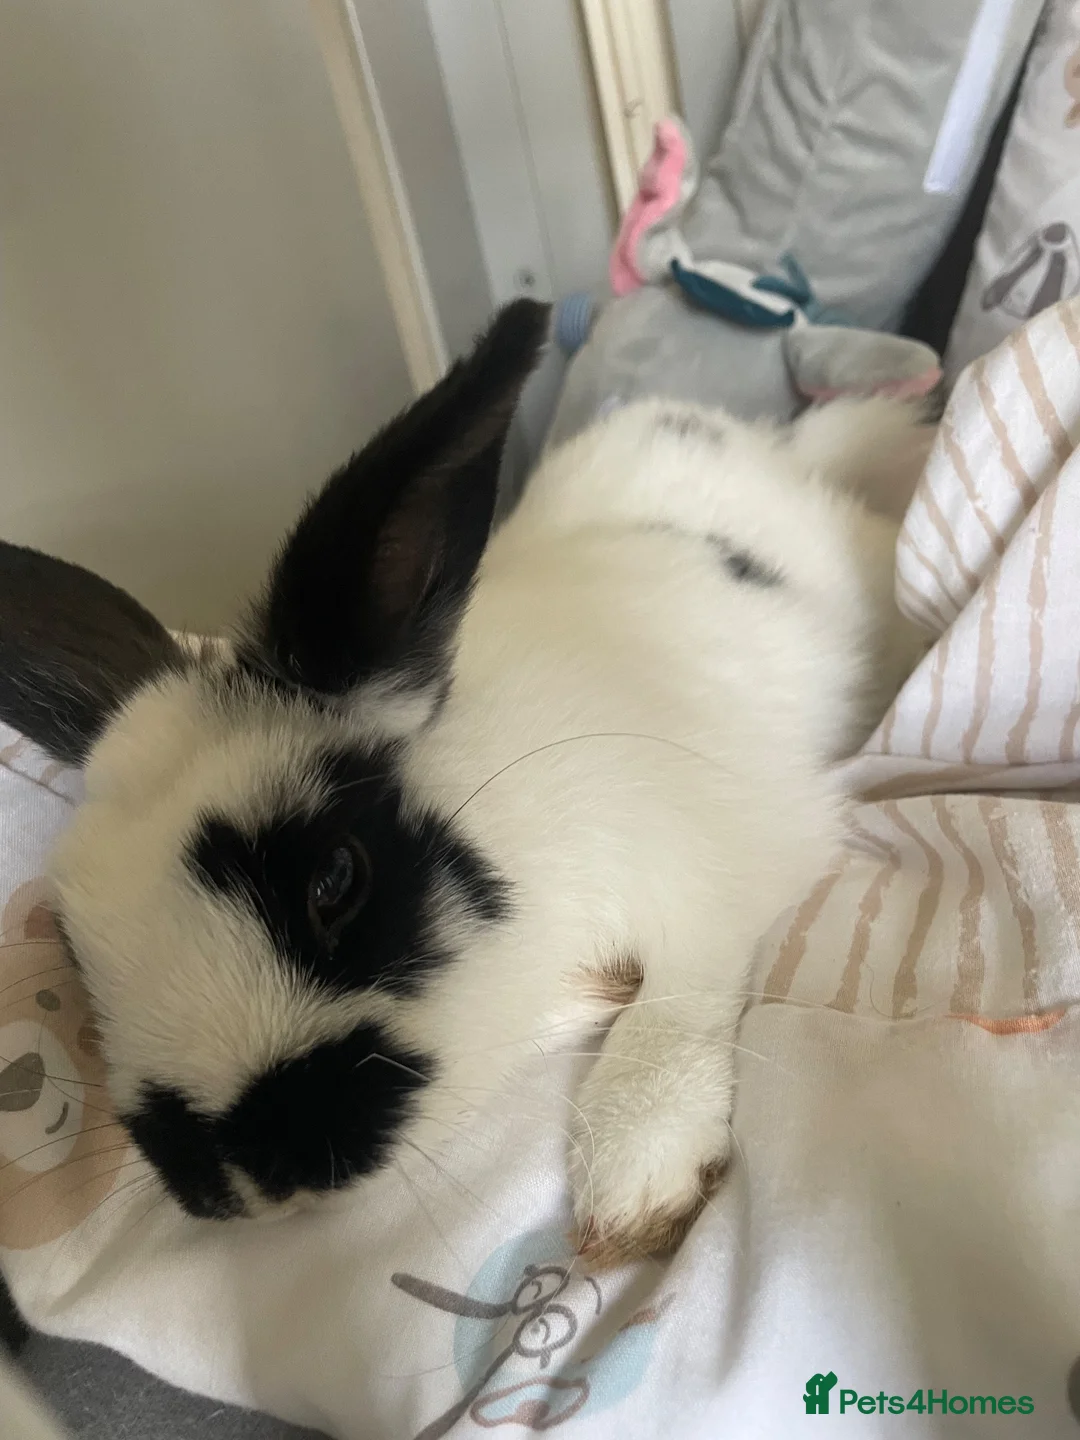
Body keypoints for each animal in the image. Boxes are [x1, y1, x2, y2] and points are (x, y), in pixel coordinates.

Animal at [0, 300, 929, 1265]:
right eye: (72, 949)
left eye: (335, 881)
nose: (247, 1180)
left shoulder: (719, 871)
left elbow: (678, 1002)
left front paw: (635, 1178)